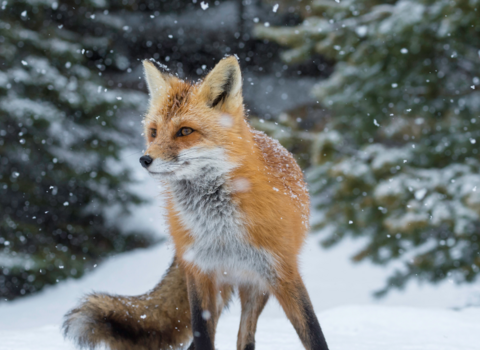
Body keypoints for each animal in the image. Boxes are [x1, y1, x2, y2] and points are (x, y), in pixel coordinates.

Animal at [62, 56, 328, 348]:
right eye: (153, 132)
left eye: (185, 131)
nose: (144, 159)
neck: (221, 229)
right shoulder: (199, 273)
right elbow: (202, 336)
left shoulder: (282, 272)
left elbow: (314, 334)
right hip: (216, 285)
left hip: (254, 287)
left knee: (245, 337)